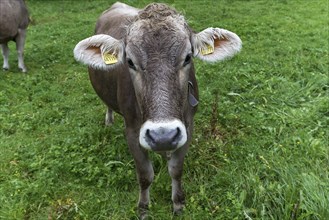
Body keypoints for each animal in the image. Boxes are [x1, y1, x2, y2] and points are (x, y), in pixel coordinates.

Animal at [73, 2, 240, 218]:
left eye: (188, 57)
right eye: (130, 61)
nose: (163, 136)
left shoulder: (188, 127)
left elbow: (176, 169)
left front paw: (178, 204)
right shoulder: (132, 131)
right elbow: (145, 175)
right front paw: (143, 208)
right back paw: (109, 121)